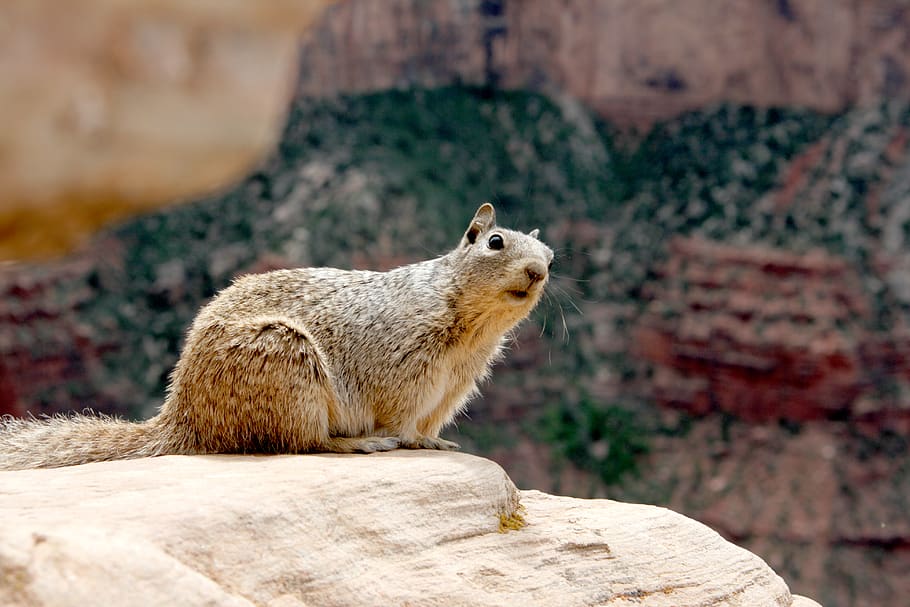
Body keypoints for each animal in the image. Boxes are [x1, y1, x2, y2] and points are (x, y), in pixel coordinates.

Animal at [0, 203, 553, 470]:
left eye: (550, 254)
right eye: (496, 241)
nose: (539, 272)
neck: (472, 329)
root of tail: (184, 416)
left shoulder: (457, 383)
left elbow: (433, 419)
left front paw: (436, 441)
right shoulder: (406, 365)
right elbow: (401, 414)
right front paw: (412, 441)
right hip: (289, 367)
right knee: (302, 442)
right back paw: (357, 444)